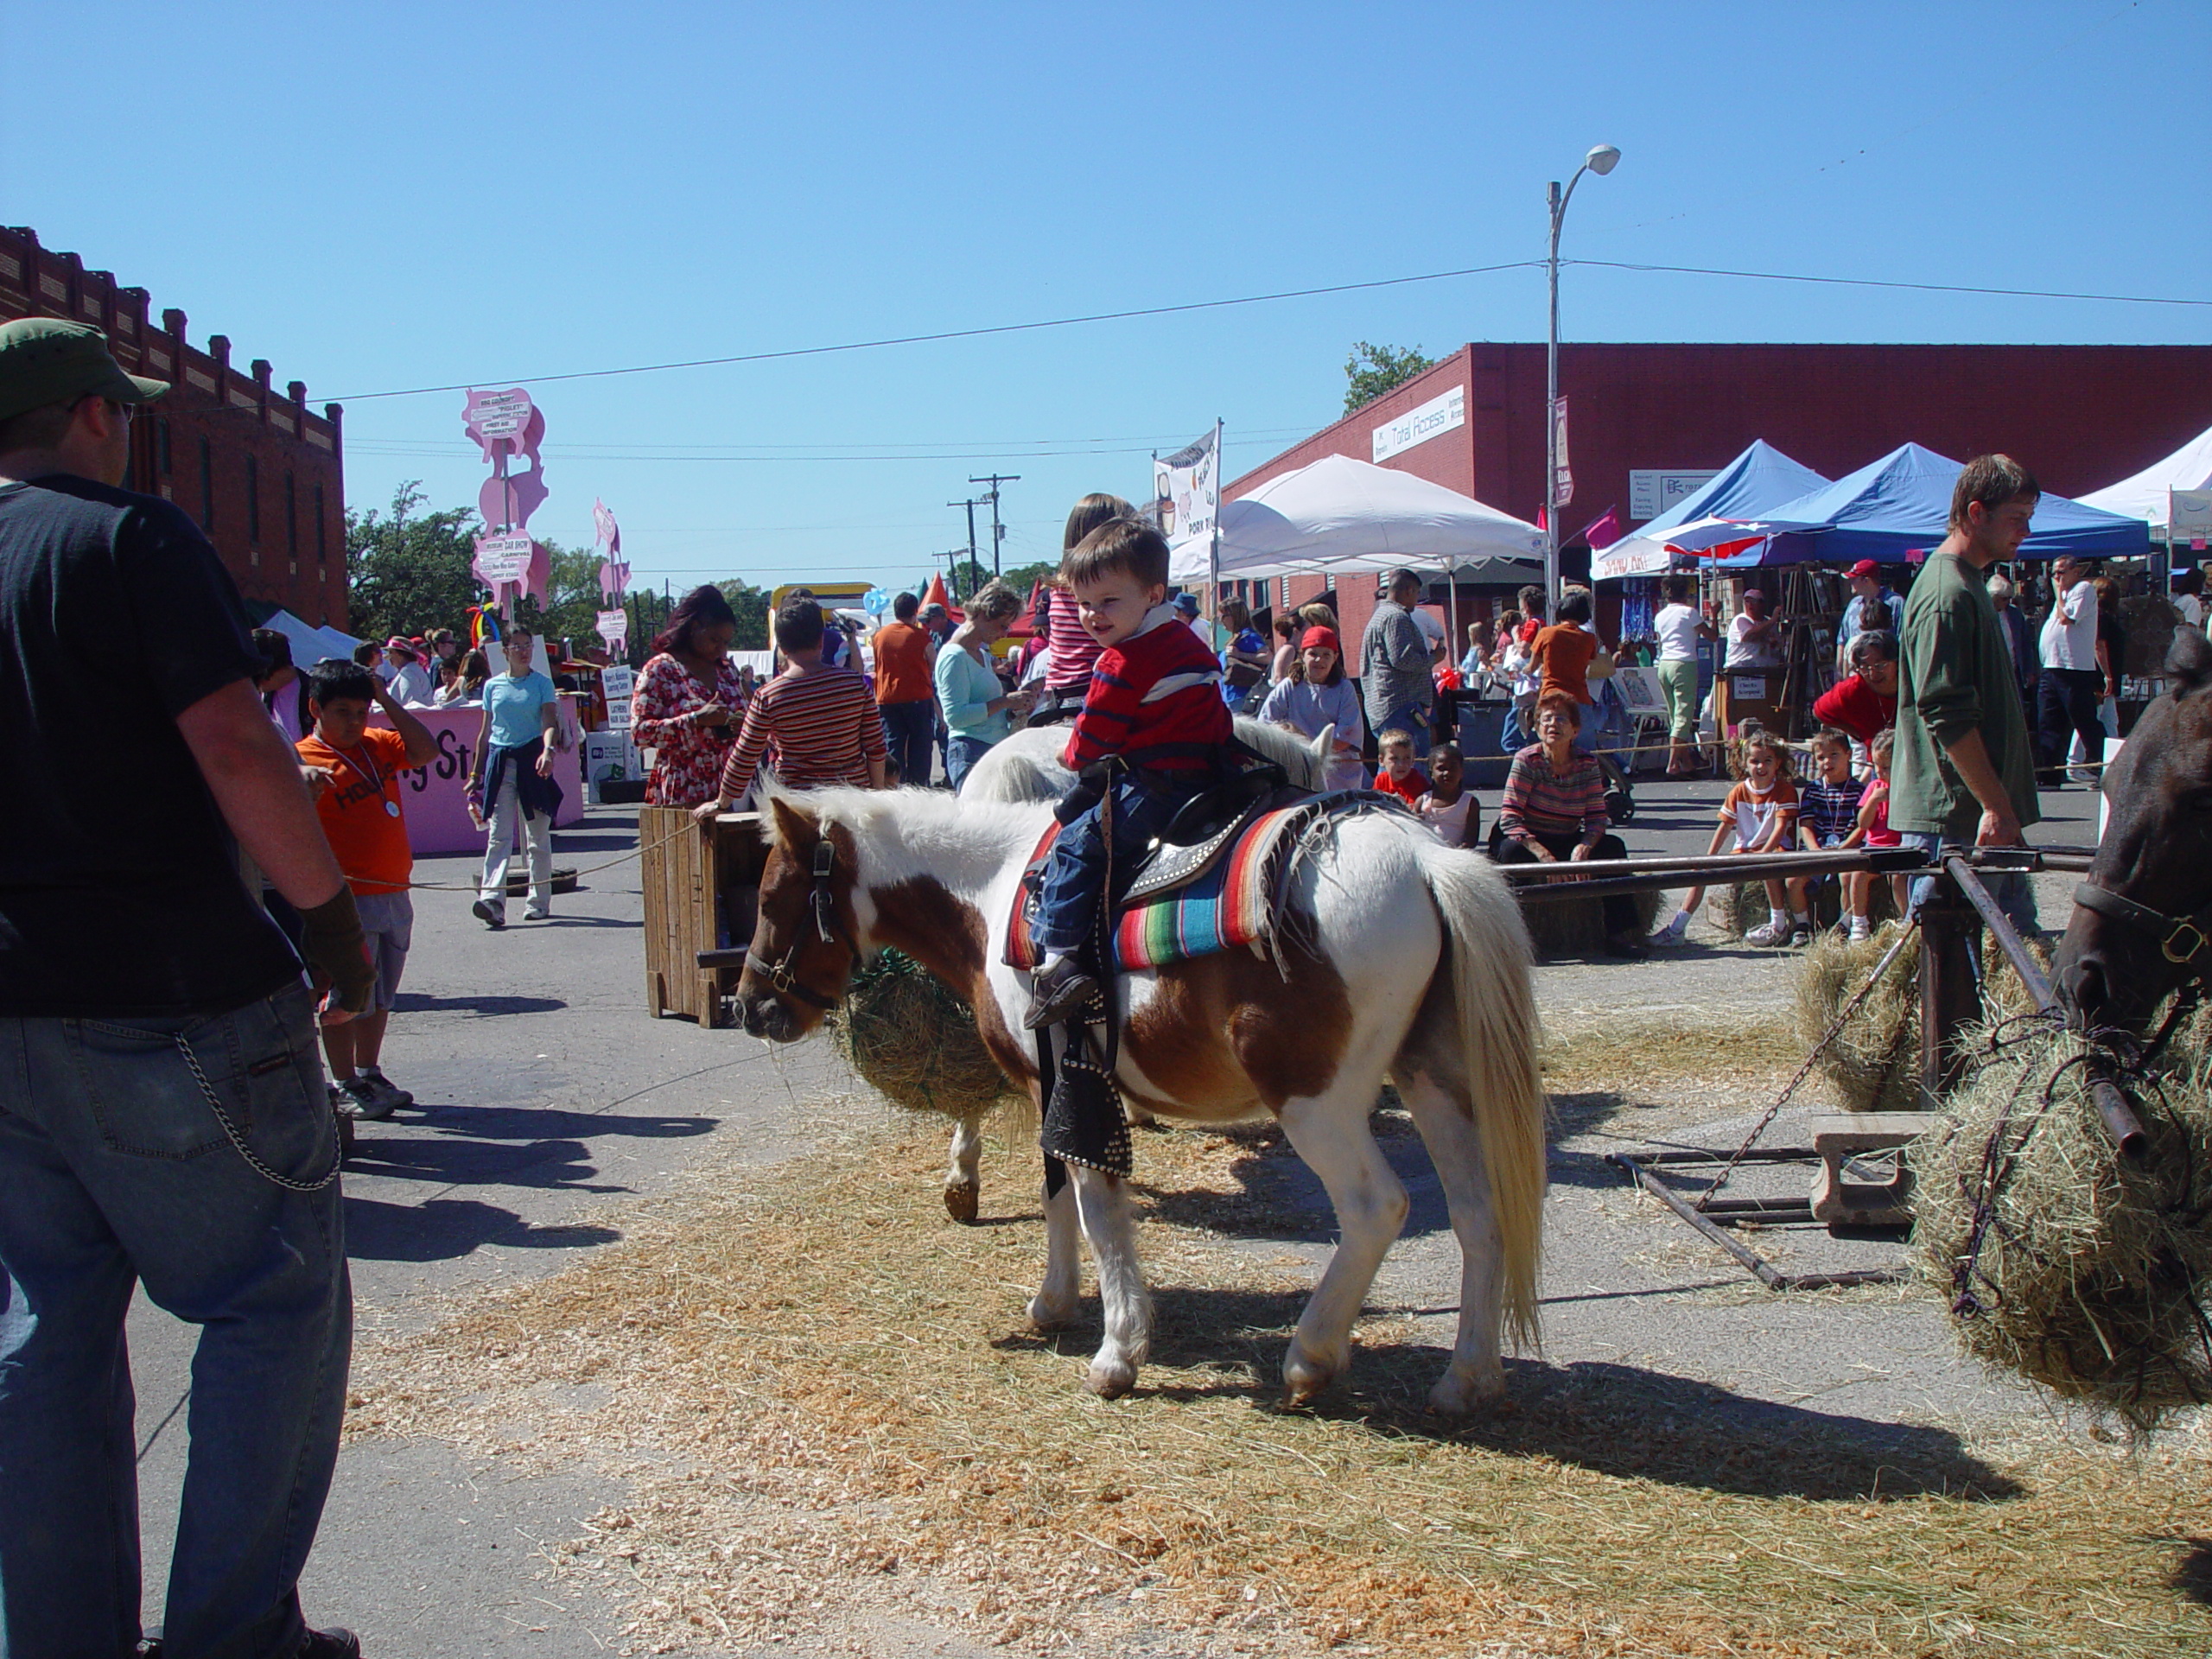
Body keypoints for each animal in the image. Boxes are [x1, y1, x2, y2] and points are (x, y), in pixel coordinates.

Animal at [734, 783, 1548, 1415]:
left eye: (772, 898)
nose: (749, 1007)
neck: (993, 892)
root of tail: (1424, 858)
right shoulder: (1054, 1089)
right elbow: (1060, 1195)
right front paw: (1055, 1306)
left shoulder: (1067, 1083)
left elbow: (1096, 1209)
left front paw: (1116, 1352)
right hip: (1434, 1082)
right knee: (1479, 1215)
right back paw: (1467, 1379)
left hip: (1317, 1103)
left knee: (1377, 1208)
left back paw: (1310, 1359)